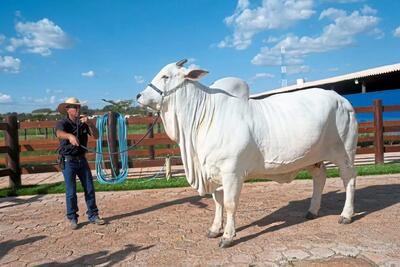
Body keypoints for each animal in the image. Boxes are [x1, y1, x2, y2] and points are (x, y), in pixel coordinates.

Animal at [138, 59, 360, 248]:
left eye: (165, 76)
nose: (138, 96)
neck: (203, 118)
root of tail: (342, 100)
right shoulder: (213, 172)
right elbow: (217, 202)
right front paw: (214, 229)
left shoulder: (232, 172)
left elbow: (229, 204)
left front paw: (228, 236)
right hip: (314, 158)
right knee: (320, 178)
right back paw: (312, 211)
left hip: (345, 153)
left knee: (348, 179)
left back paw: (346, 215)